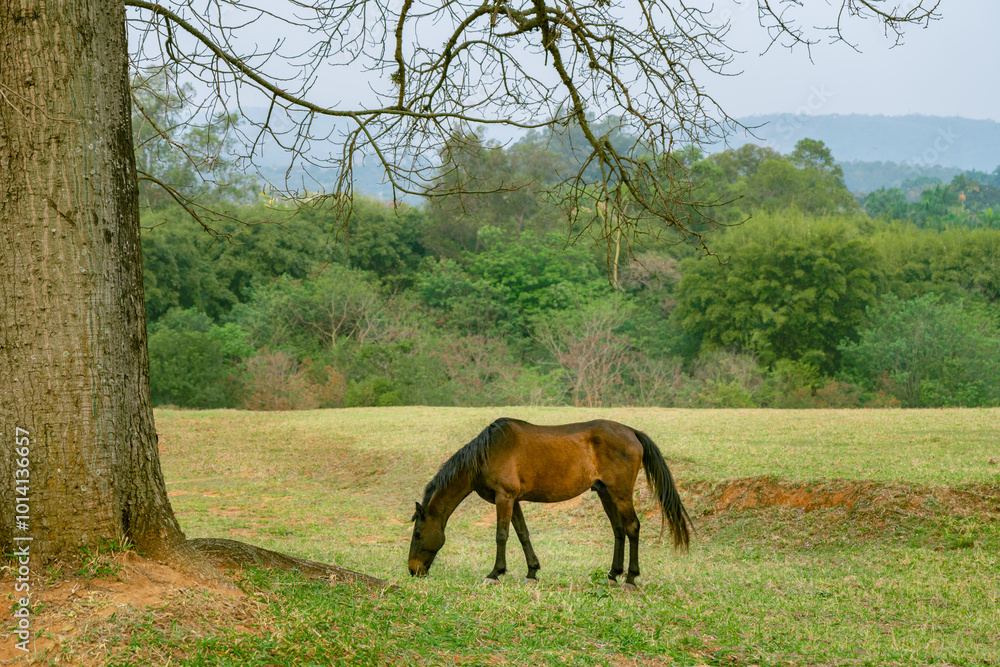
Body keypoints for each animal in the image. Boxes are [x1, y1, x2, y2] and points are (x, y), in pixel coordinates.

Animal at [408, 418, 691, 588]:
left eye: (418, 534)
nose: (413, 570)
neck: (486, 453)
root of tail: (632, 432)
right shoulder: (513, 500)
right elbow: (523, 534)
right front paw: (532, 572)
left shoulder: (504, 497)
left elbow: (501, 535)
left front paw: (495, 573)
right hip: (605, 493)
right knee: (619, 530)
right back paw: (613, 573)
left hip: (620, 493)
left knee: (632, 527)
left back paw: (631, 578)